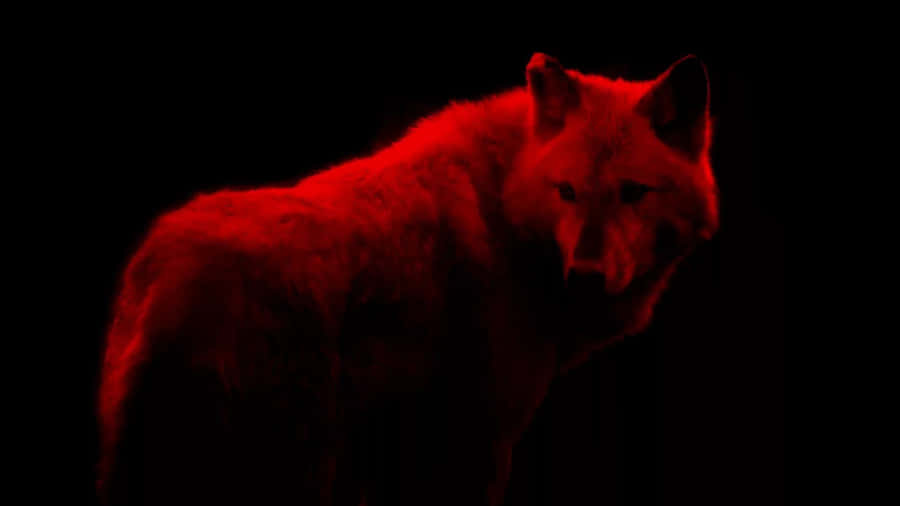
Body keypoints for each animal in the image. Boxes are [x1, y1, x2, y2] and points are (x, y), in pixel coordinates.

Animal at [97, 52, 719, 505]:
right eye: (566, 191)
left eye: (633, 192)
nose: (585, 275)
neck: (506, 205)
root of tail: (166, 276)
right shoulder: (480, 441)